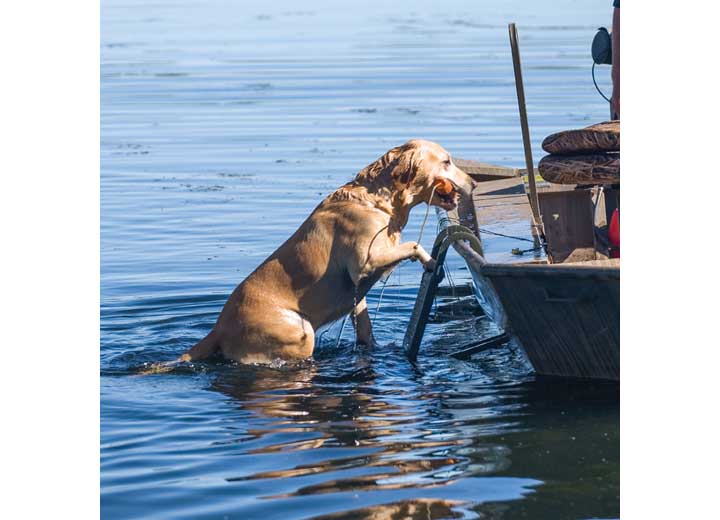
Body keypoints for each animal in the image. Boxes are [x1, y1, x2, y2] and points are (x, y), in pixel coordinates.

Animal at [177, 140, 476, 364]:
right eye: (447, 161)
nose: (473, 184)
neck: (377, 202)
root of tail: (218, 329)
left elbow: (364, 325)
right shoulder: (364, 264)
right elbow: (413, 244)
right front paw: (430, 261)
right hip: (300, 331)